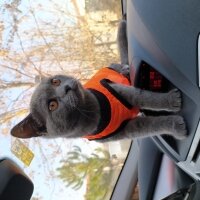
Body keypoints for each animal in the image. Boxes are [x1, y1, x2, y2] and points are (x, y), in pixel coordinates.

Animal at [10, 19, 187, 141]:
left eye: (55, 81)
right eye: (52, 105)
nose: (66, 87)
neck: (96, 113)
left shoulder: (118, 90)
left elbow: (146, 97)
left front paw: (172, 100)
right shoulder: (125, 130)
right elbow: (152, 126)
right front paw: (177, 126)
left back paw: (125, 69)